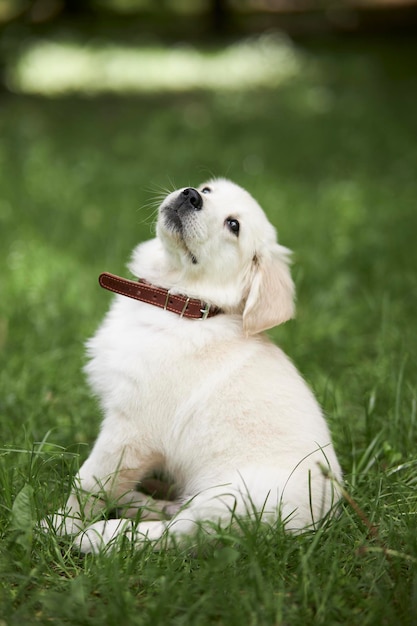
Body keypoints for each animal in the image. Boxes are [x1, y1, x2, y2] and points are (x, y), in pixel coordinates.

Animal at [43, 177, 342, 552]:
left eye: (234, 225)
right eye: (207, 189)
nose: (191, 195)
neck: (181, 304)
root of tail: (322, 522)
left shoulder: (131, 431)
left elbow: (89, 482)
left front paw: (61, 523)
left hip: (229, 502)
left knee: (175, 533)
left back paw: (101, 536)